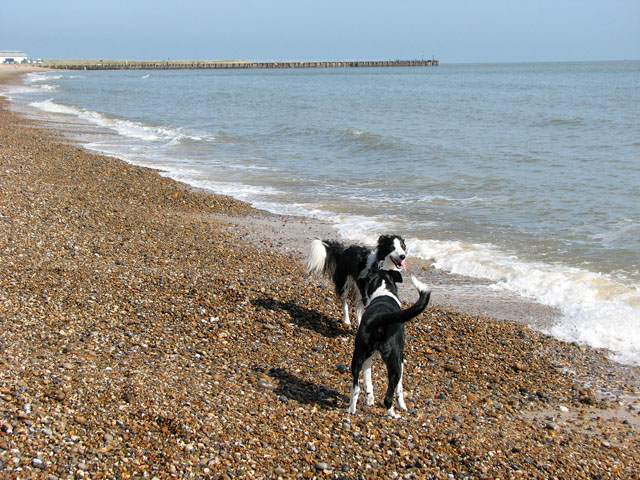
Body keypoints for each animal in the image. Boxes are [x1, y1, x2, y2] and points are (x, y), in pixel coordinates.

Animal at [348, 268, 432, 418]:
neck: (383, 292)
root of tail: (381, 318)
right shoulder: (401, 359)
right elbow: (399, 389)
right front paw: (402, 405)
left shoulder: (366, 359)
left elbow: (368, 382)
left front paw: (369, 399)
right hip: (395, 363)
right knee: (388, 396)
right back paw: (393, 414)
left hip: (358, 356)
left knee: (356, 387)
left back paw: (351, 409)